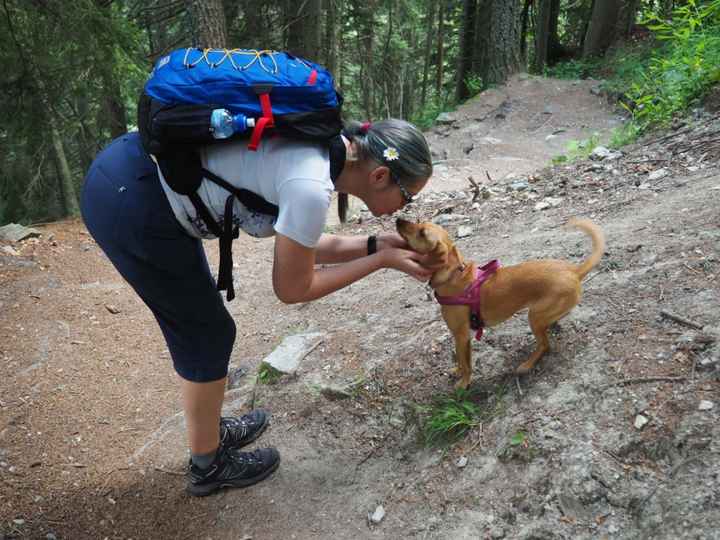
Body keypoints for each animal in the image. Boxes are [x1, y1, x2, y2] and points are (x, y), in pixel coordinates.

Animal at [396, 217, 604, 386]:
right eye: (419, 221)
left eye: (422, 233)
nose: (398, 220)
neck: (454, 275)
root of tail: (574, 271)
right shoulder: (462, 338)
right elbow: (462, 360)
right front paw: (458, 371)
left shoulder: (461, 335)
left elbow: (465, 362)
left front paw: (463, 383)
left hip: (534, 318)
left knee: (545, 345)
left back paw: (526, 364)